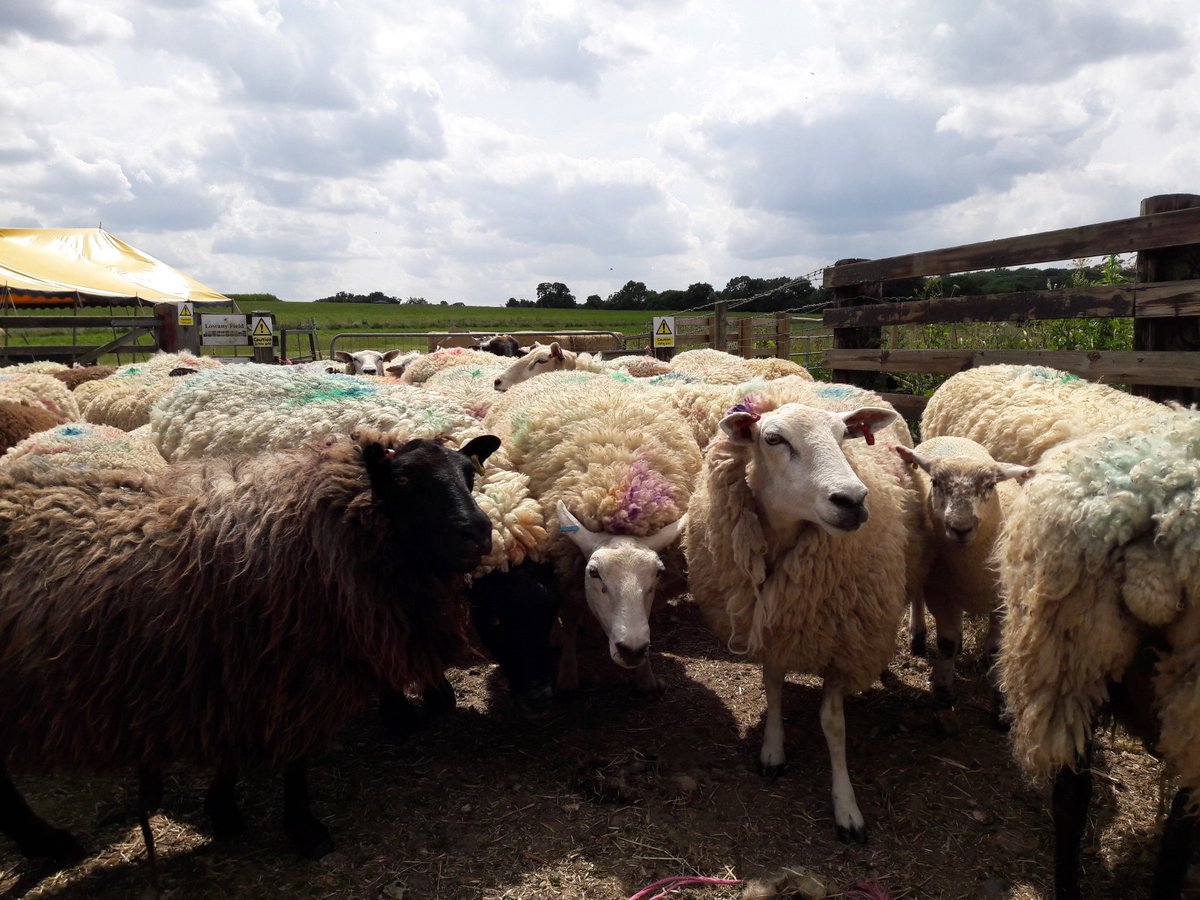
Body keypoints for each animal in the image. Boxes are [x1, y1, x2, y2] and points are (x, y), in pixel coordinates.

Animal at [0, 427, 501, 869]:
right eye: (403, 481)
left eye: (469, 475)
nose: (479, 531)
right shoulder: (281, 674)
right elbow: (294, 763)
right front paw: (304, 829)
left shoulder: (232, 675)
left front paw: (223, 811)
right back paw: (47, 842)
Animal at [484, 377, 700, 694]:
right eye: (594, 573)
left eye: (658, 573)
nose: (631, 650)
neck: (618, 490)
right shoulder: (568, 575)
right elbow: (570, 619)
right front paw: (567, 676)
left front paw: (645, 677)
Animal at [683, 378, 915, 843]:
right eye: (774, 439)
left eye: (844, 436)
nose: (853, 500)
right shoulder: (773, 627)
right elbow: (773, 688)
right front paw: (772, 750)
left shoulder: (841, 647)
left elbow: (833, 725)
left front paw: (847, 808)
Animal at [893, 436, 1033, 708]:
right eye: (935, 482)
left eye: (990, 485)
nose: (960, 528)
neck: (971, 570)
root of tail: (952, 438)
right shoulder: (938, 592)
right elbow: (946, 643)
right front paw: (943, 690)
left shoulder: (1002, 601)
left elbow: (995, 650)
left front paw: (999, 696)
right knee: (918, 595)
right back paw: (918, 636)